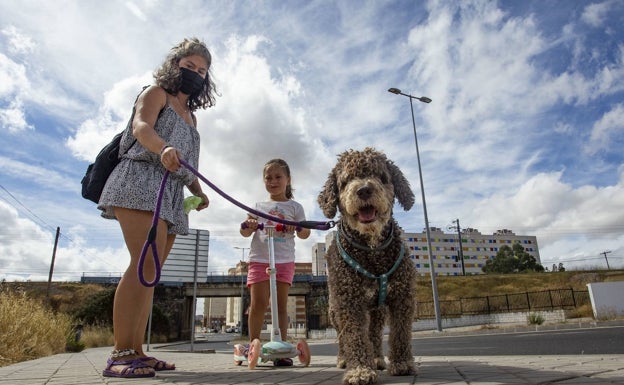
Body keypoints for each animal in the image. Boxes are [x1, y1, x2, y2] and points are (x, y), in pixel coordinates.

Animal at [320, 147, 416, 384]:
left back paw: (378, 359)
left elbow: (400, 332)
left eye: (381, 176)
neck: (372, 250)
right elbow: (354, 336)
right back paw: (344, 359)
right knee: (342, 338)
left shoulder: (402, 297)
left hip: (377, 310)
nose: (363, 190)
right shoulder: (348, 301)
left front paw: (401, 363)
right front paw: (360, 370)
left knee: (374, 333)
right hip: (334, 311)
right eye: (345, 181)